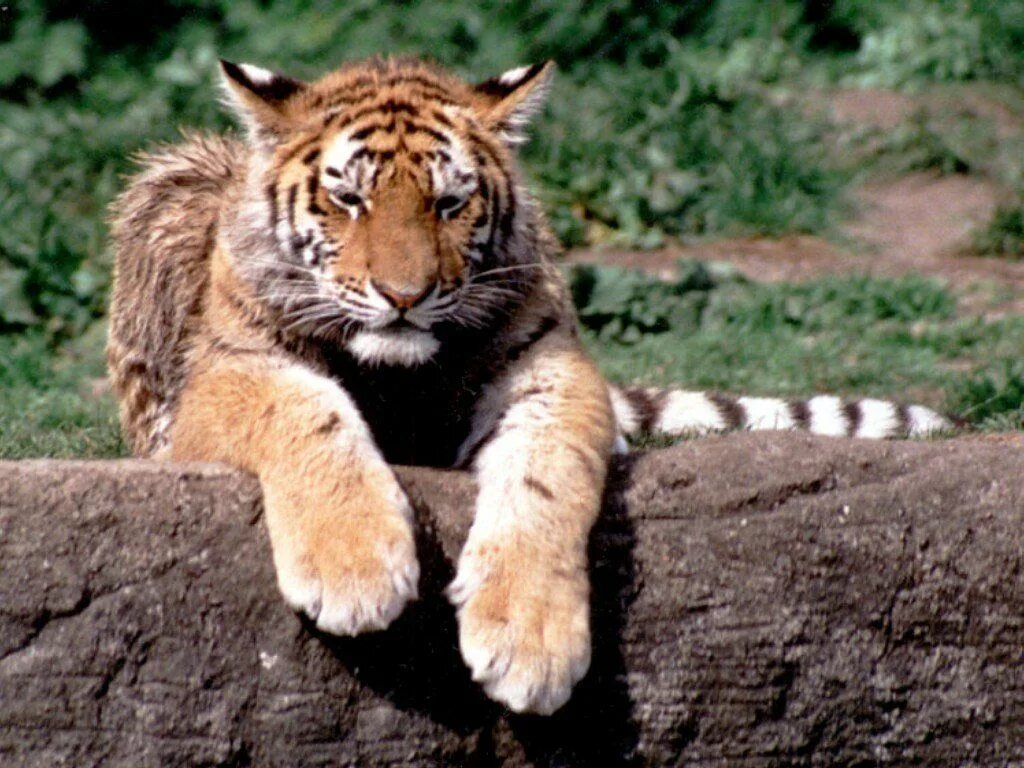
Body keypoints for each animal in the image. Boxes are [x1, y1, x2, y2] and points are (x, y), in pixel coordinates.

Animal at [107, 56, 949, 716]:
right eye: (349, 199)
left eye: (449, 203)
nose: (404, 295)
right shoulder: (227, 374)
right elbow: (308, 412)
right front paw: (355, 570)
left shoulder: (551, 374)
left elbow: (547, 478)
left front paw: (529, 641)